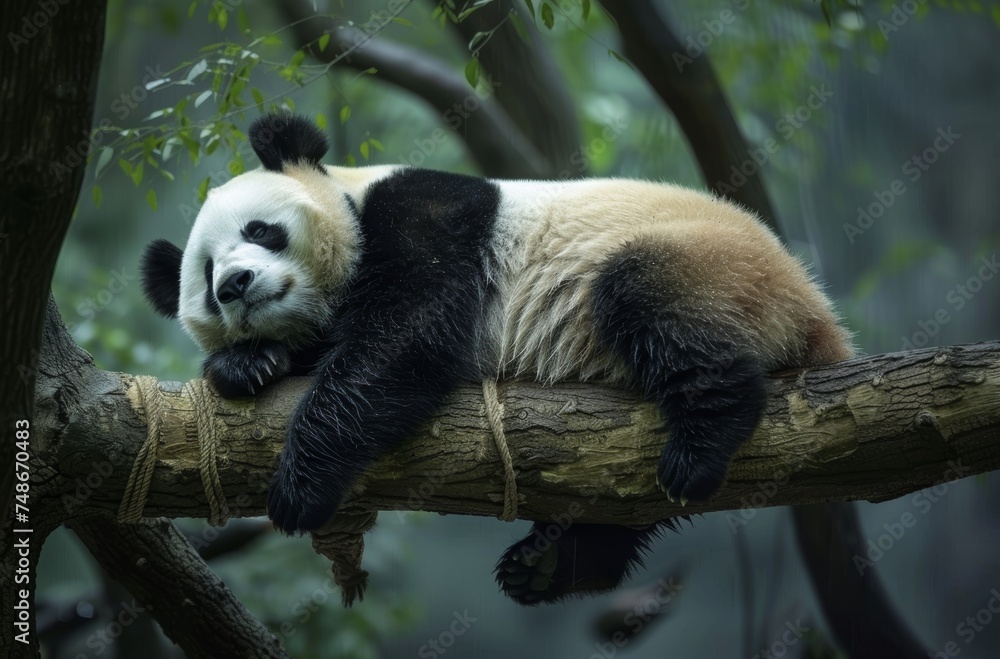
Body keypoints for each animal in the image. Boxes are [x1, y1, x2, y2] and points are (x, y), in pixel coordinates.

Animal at [141, 112, 853, 606]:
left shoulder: (424, 216)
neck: (352, 201)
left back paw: (700, 443)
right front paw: (249, 364)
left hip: (712, 265)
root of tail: (812, 307)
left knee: (651, 299)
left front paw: (299, 486)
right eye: (204, 275)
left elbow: (404, 340)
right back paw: (554, 564)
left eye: (260, 231)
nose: (235, 284)